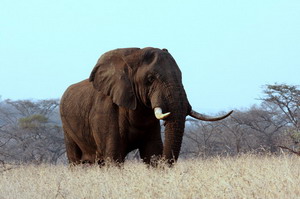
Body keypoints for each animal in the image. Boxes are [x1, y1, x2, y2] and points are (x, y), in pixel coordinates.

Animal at [58, 47, 232, 165]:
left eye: (181, 76)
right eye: (150, 79)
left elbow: (152, 153)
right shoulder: (105, 112)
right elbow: (114, 158)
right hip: (66, 127)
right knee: (75, 162)